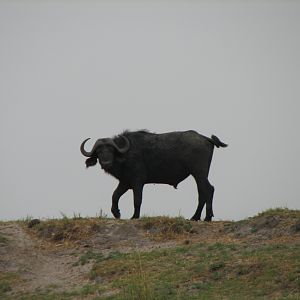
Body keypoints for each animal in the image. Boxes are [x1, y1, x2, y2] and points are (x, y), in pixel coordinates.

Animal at [80, 130, 227, 221]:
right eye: (99, 151)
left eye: (111, 150)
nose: (106, 163)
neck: (126, 155)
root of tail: (205, 138)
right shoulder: (125, 182)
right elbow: (115, 195)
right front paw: (117, 213)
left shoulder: (137, 182)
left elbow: (137, 199)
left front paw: (135, 216)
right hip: (198, 175)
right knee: (202, 192)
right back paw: (195, 217)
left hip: (199, 173)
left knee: (208, 189)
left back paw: (207, 217)